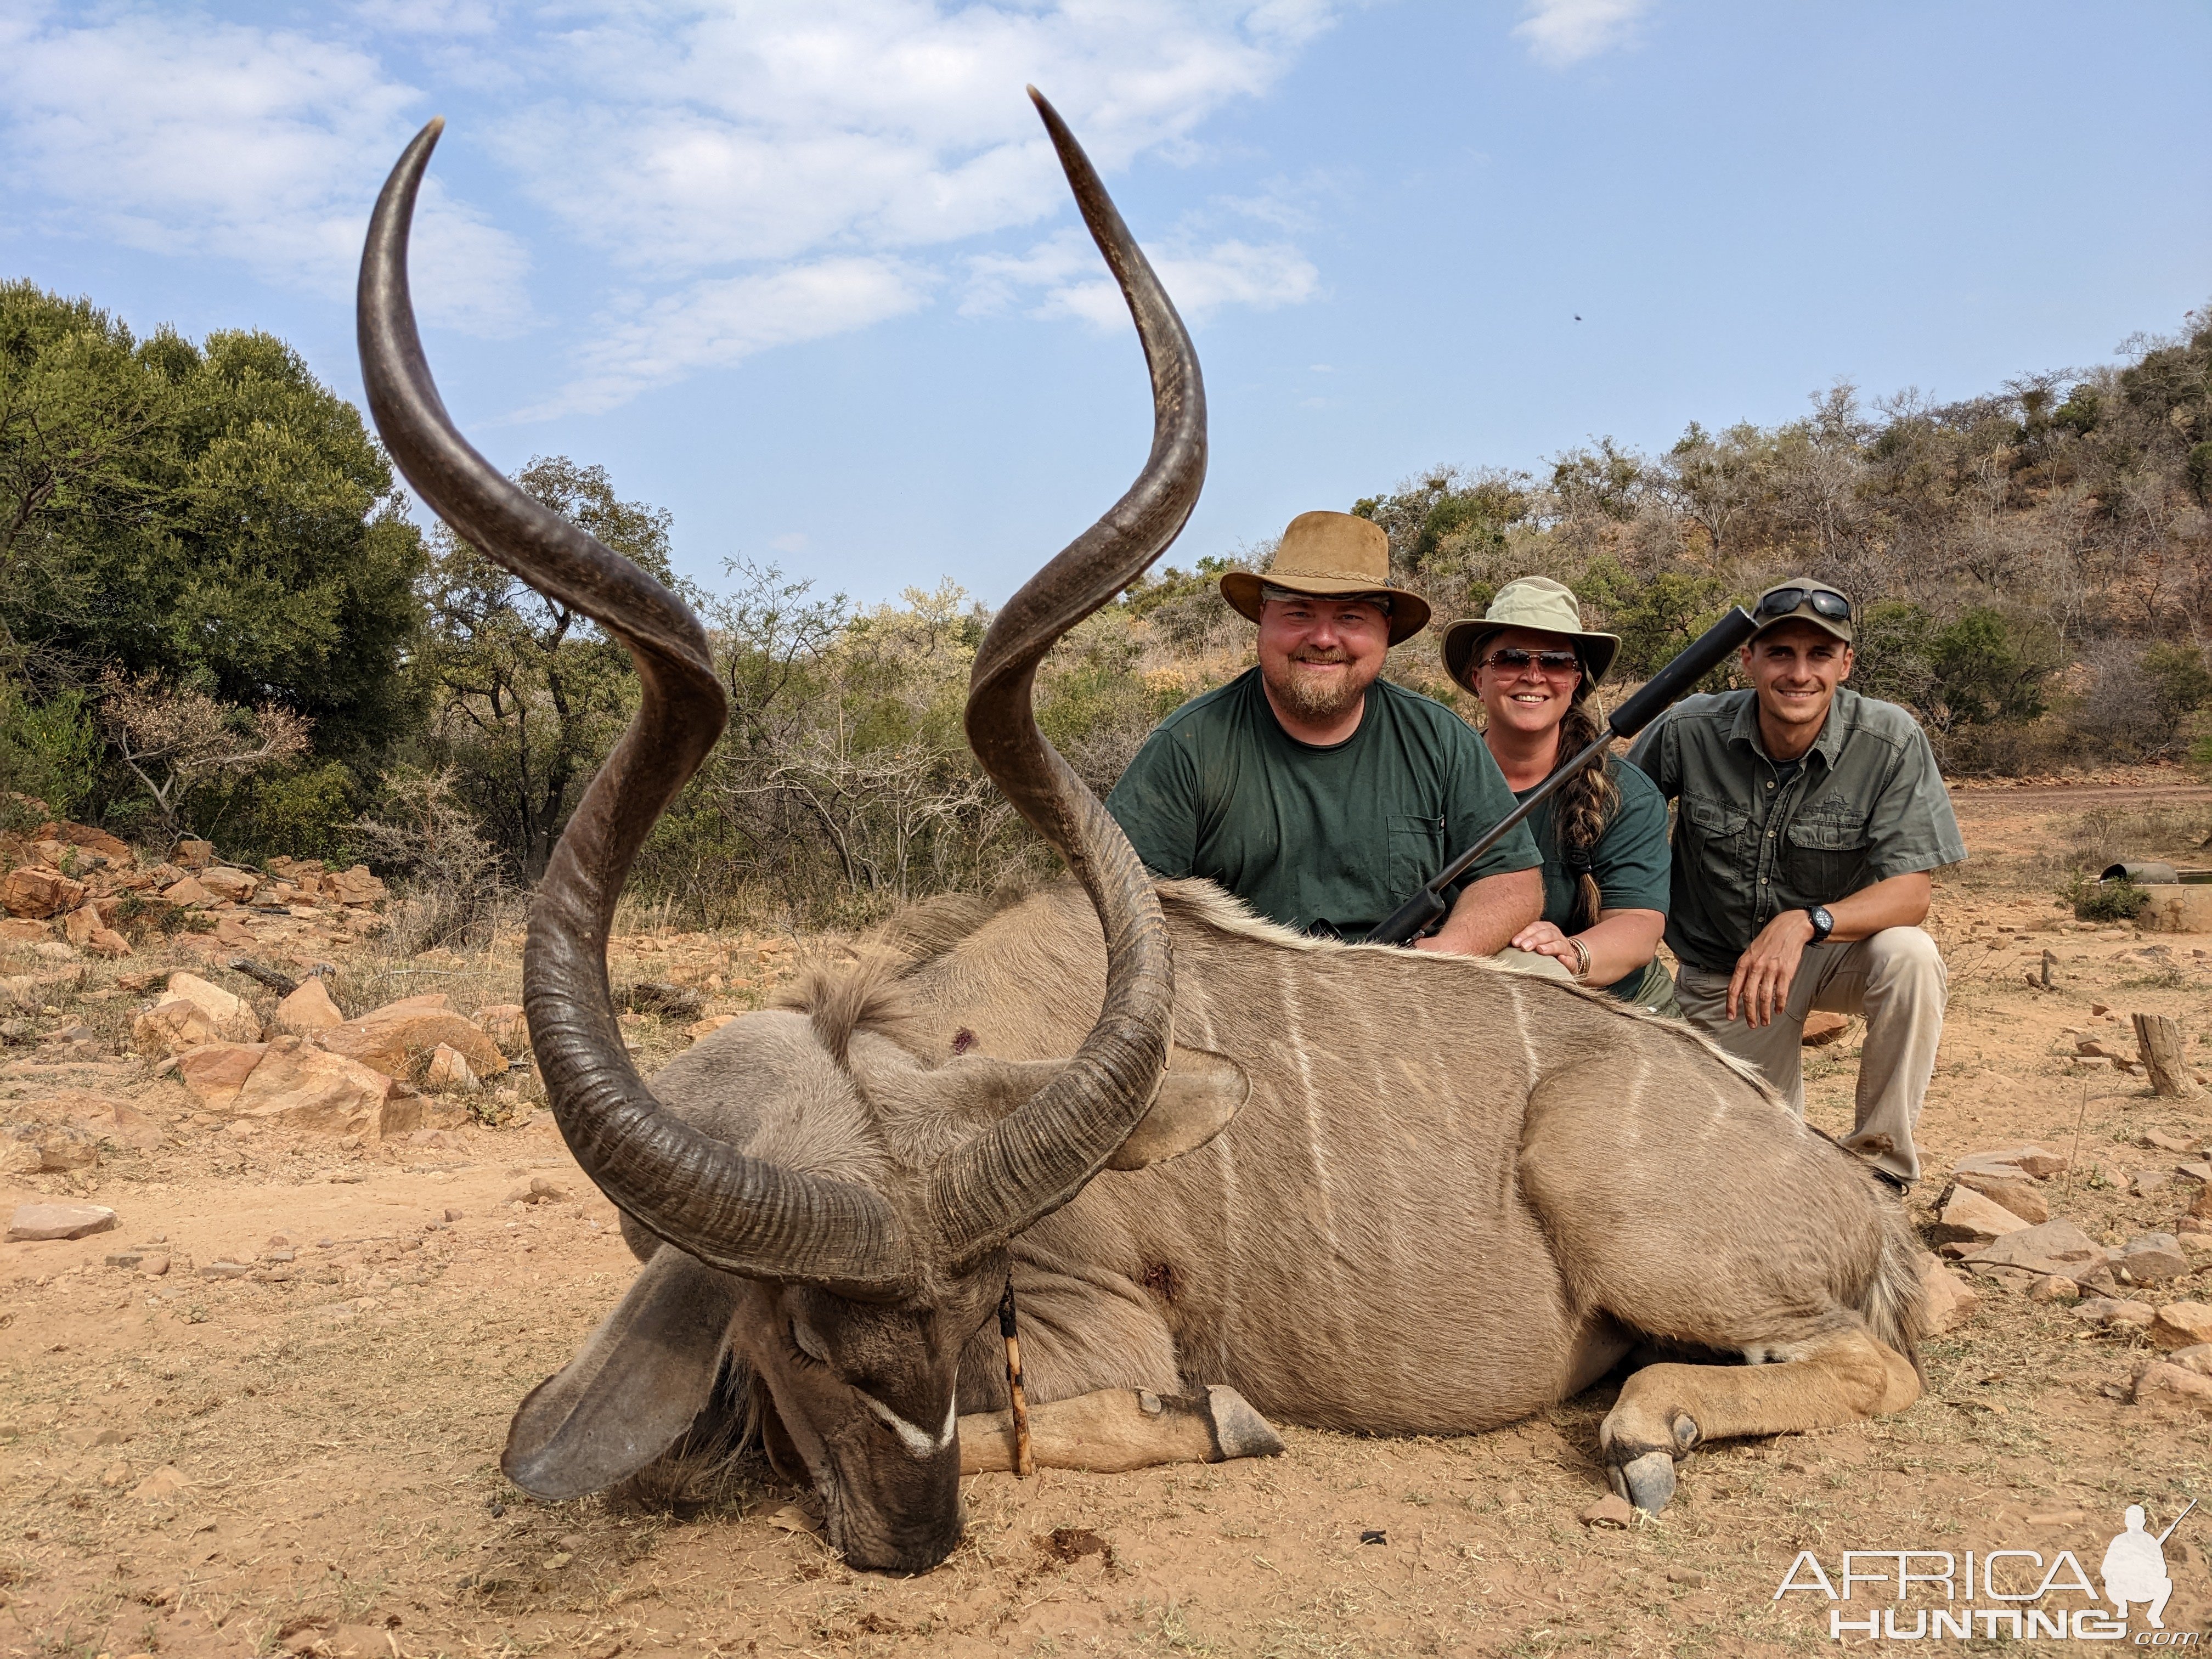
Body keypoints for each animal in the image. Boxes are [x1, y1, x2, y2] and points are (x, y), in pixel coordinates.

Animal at [358, 97, 1920, 1575]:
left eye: (975, 1308)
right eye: (797, 1332)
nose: (913, 1541)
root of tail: (1852, 1200)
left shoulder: (1087, 1331)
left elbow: (1048, 1425)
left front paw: (1227, 1417)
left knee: (1872, 1365)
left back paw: (1648, 1429)